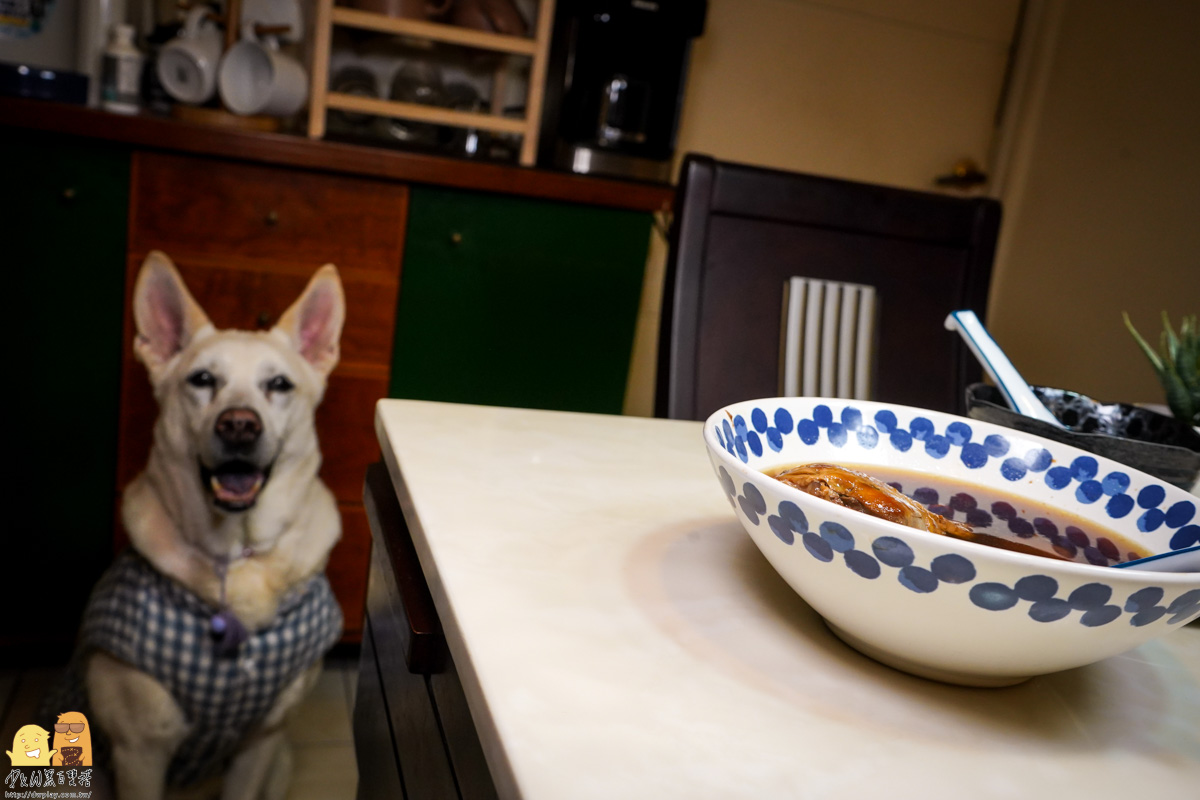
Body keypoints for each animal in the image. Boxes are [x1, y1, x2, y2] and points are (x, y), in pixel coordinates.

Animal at [49, 251, 345, 800]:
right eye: (203, 379)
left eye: (278, 385)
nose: (239, 426)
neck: (236, 558)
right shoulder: (139, 751)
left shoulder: (262, 743)